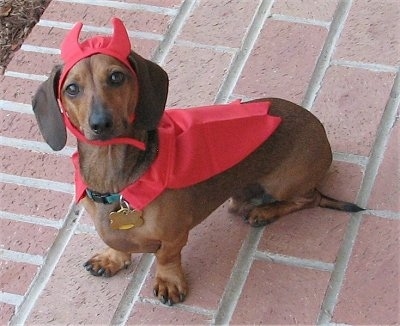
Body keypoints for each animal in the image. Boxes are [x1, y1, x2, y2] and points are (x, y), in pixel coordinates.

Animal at [31, 18, 362, 306]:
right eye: (72, 88)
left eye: (116, 76)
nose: (101, 124)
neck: (115, 179)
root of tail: (320, 131)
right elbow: (117, 243)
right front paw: (112, 259)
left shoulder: (174, 235)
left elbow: (167, 257)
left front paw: (168, 281)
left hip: (284, 183)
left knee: (308, 198)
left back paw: (265, 211)